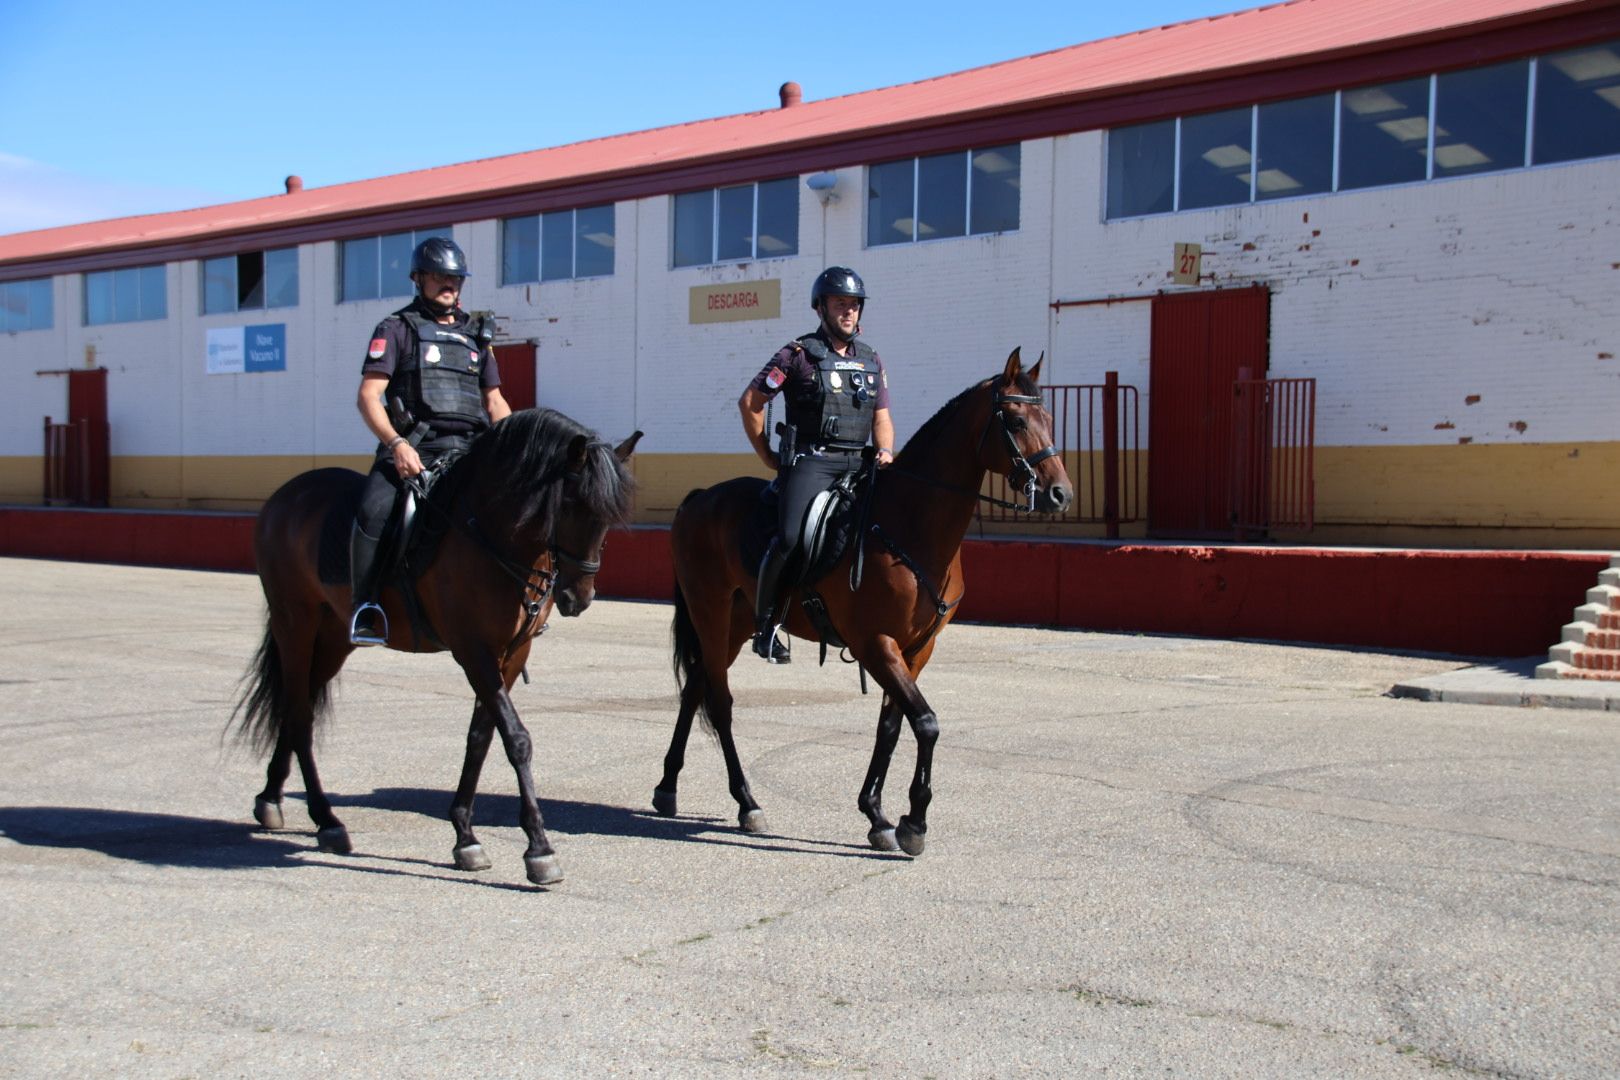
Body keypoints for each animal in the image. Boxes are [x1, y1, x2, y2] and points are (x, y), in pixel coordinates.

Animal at [234, 404, 638, 887]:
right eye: (573, 506)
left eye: (608, 516)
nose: (579, 598)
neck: (491, 537)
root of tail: (286, 496)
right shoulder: (473, 650)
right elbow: (516, 739)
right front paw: (539, 850)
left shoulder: (510, 653)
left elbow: (481, 737)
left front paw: (465, 836)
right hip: (295, 623)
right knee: (298, 714)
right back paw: (326, 819)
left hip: (332, 637)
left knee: (301, 707)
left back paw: (272, 798)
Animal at [657, 351, 1075, 854]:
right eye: (1015, 420)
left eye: (1048, 419)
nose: (1061, 493)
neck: (908, 524)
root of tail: (699, 499)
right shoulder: (875, 642)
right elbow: (926, 722)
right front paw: (914, 822)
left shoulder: (916, 648)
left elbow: (892, 726)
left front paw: (877, 815)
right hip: (711, 614)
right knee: (719, 702)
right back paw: (747, 802)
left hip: (734, 625)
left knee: (695, 687)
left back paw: (667, 788)